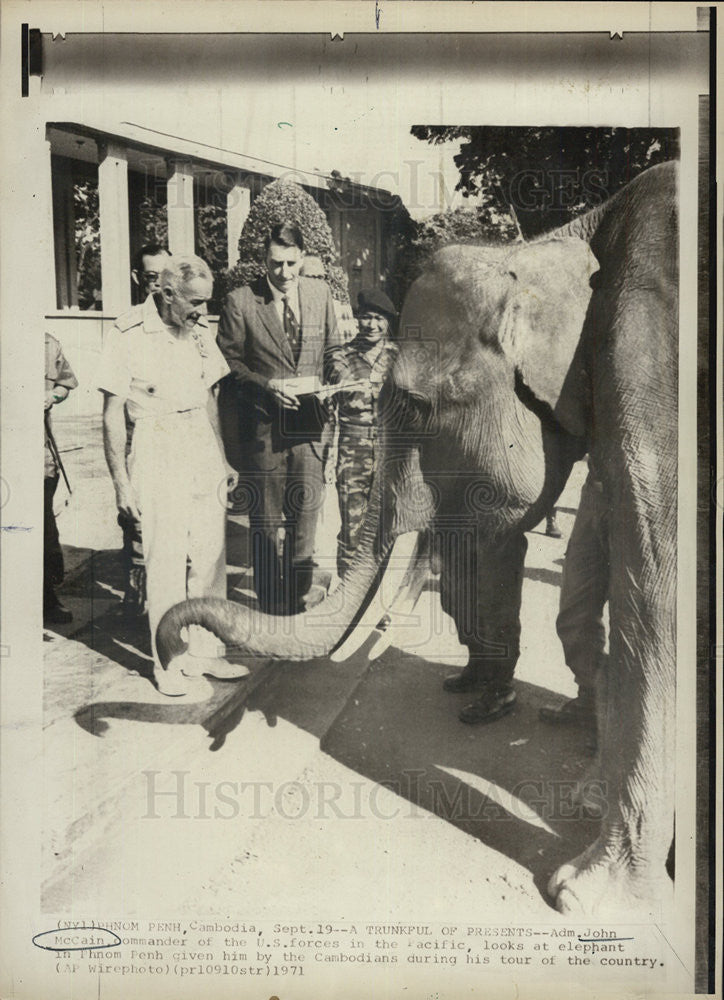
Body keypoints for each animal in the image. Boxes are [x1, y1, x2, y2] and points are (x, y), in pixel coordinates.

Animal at [157, 160, 680, 916]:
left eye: (415, 402)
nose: (174, 646)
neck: (563, 238)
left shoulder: (655, 357)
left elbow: (658, 579)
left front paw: (582, 893)